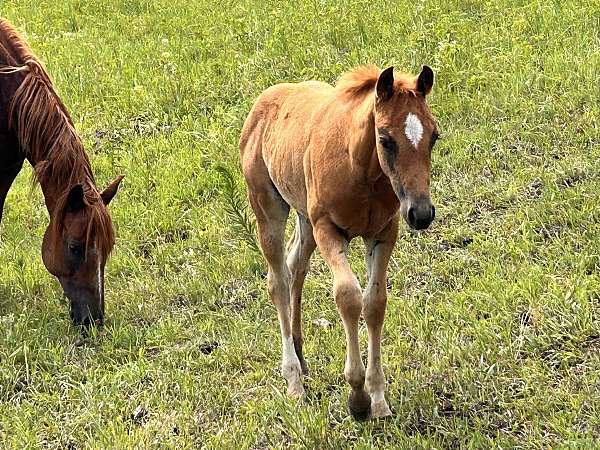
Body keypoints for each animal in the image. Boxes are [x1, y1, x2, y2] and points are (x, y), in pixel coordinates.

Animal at [240, 65, 440, 420]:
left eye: (434, 136)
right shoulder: (328, 229)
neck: (362, 172)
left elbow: (375, 303)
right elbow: (348, 296)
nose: (420, 213)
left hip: (304, 216)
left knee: (295, 266)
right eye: (385, 139)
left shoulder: (383, 233)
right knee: (277, 280)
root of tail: (264, 101)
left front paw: (378, 400)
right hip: (268, 209)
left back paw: (301, 355)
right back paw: (294, 380)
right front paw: (358, 398)